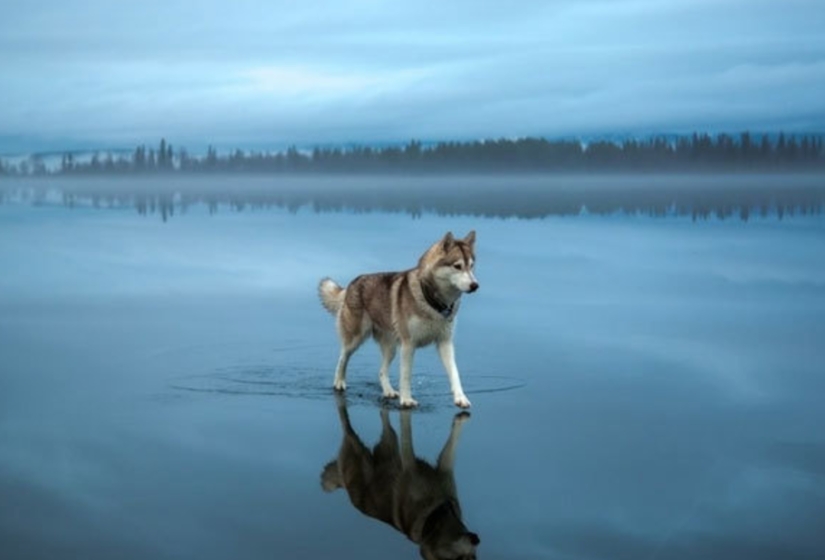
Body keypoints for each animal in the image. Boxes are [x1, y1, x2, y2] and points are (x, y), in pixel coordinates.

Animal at [318, 230, 480, 410]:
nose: (475, 285)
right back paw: (339, 382)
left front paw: (461, 398)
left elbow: (454, 373)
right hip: (355, 339)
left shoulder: (445, 343)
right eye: (457, 266)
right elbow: (406, 375)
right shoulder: (409, 345)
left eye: (471, 265)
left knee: (381, 371)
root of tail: (351, 284)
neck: (433, 302)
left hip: (391, 348)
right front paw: (407, 400)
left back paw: (388, 391)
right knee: (342, 358)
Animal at [320, 396, 480, 556]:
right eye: (461, 558)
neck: (436, 512)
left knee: (385, 422)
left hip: (390, 443)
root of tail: (345, 487)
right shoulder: (409, 464)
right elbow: (407, 433)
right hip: (355, 445)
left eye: (473, 557)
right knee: (345, 424)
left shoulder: (445, 468)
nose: (477, 540)